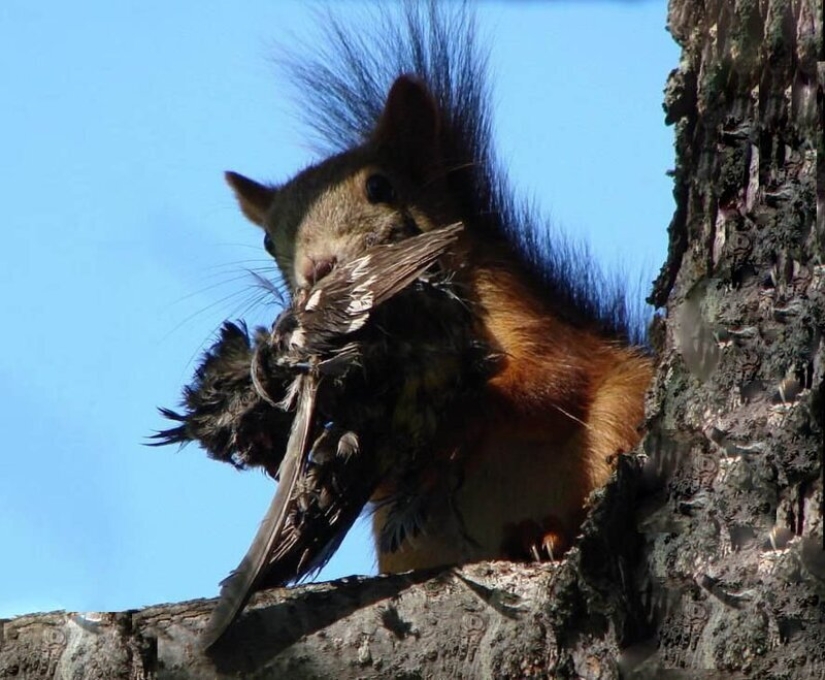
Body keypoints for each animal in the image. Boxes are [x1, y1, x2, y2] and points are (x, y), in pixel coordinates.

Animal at [219, 4, 653, 575]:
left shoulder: (510, 303)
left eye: (379, 186)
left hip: (621, 410)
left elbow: (550, 374)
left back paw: (547, 535)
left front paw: (452, 420)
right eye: (269, 240)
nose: (318, 268)